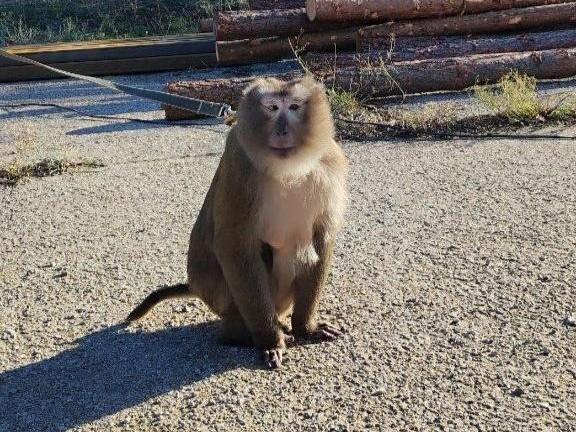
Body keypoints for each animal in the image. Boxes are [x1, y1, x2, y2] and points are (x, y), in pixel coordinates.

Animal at [127, 76, 346, 370]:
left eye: (294, 107)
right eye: (272, 107)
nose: (282, 130)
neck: (289, 169)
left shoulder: (331, 164)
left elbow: (322, 238)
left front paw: (305, 327)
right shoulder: (240, 166)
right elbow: (234, 246)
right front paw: (269, 340)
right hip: (222, 297)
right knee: (258, 256)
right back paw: (239, 334)